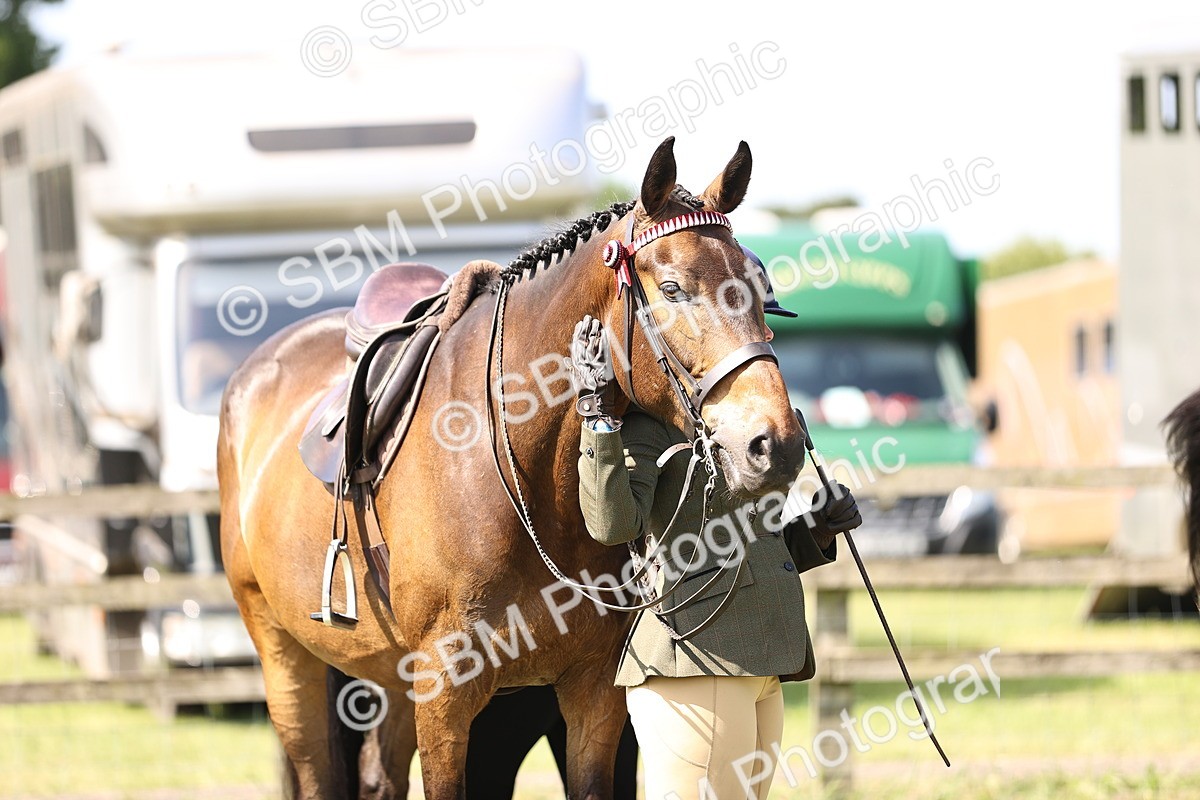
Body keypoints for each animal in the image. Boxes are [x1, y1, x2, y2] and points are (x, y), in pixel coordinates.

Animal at [217, 136, 806, 799]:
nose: (775, 443)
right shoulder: (445, 696)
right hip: (282, 651)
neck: (530, 483)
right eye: (675, 288)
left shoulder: (594, 692)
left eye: (759, 286)